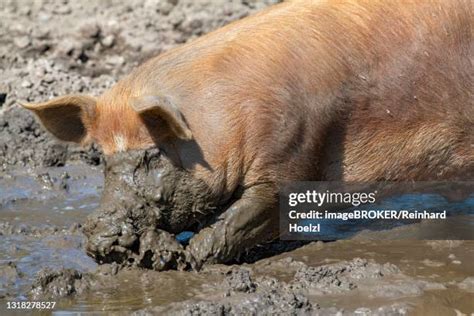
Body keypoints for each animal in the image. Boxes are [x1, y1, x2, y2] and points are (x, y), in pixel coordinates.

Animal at [23, 0, 474, 268]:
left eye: (153, 153)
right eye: (101, 157)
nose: (100, 227)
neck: (221, 124)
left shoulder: (293, 152)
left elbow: (247, 216)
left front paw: (183, 260)